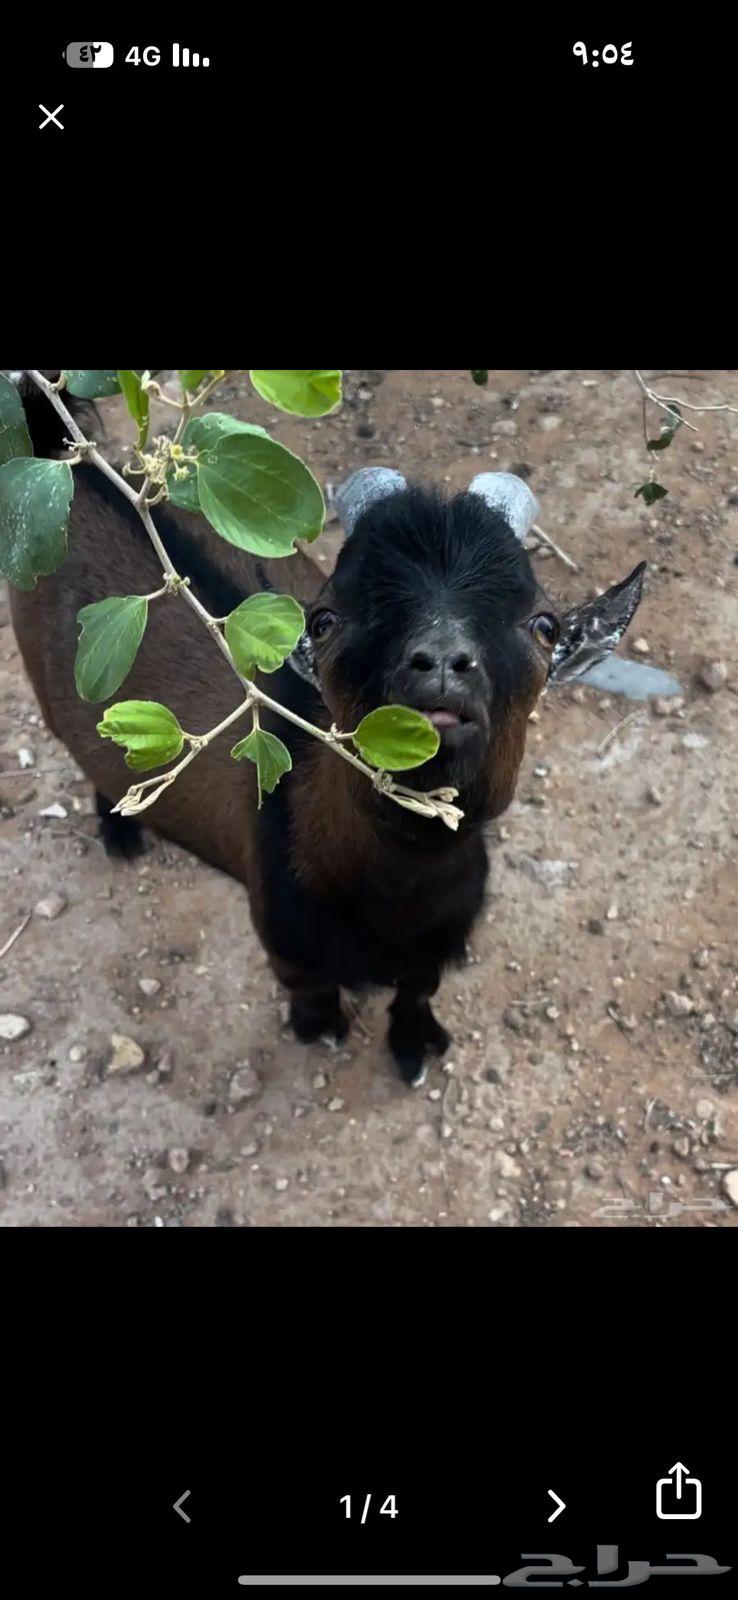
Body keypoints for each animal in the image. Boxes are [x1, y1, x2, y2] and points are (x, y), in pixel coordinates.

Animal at [8, 381, 645, 1085]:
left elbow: (417, 991)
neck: (400, 893)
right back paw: (120, 833)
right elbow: (311, 992)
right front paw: (322, 1029)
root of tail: (60, 454)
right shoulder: (287, 947)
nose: (440, 663)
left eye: (545, 626)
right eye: (323, 620)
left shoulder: (438, 947)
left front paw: (416, 1044)